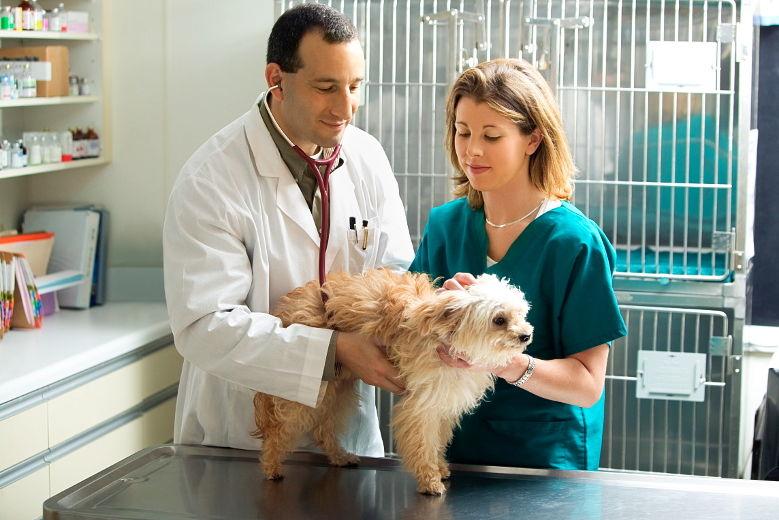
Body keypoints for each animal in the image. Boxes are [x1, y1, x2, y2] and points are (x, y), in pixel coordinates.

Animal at [253, 270, 532, 494]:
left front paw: (440, 467)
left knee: (324, 429)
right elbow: (423, 443)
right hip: (304, 390)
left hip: (338, 388)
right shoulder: (420, 407)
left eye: (520, 314)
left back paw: (339, 456)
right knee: (279, 430)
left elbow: (437, 441)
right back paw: (271, 465)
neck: (448, 339)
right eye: (499, 320)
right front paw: (429, 480)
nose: (526, 335)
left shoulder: (442, 405)